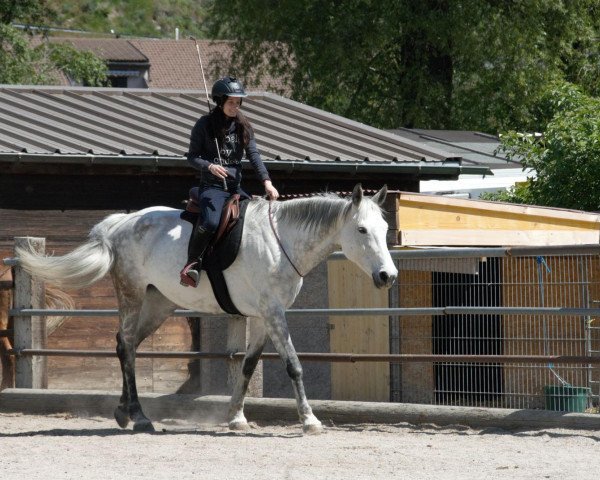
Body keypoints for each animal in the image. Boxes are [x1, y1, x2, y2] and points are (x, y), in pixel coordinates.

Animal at [16, 183, 396, 432]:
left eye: (384, 228)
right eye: (362, 229)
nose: (387, 275)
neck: (281, 242)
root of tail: (120, 224)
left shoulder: (263, 317)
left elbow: (248, 366)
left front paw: (236, 417)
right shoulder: (273, 312)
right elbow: (294, 365)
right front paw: (309, 420)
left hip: (158, 304)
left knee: (130, 346)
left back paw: (126, 413)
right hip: (131, 296)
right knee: (125, 347)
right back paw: (139, 416)